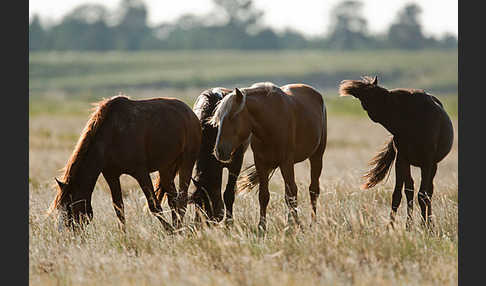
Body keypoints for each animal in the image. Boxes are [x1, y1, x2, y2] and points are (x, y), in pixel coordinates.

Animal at [48, 95, 201, 231]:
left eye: (69, 209)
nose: (69, 236)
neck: (112, 135)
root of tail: (190, 113)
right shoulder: (111, 175)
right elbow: (119, 209)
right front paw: (124, 235)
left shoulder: (141, 173)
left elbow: (154, 206)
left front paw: (169, 231)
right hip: (166, 168)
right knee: (173, 200)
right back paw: (178, 227)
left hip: (186, 163)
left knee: (181, 200)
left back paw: (178, 229)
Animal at [190, 87, 249, 223]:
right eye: (196, 202)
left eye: (208, 201)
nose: (202, 223)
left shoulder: (236, 164)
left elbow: (229, 194)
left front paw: (229, 222)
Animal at [209, 82, 326, 230]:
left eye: (232, 117)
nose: (219, 151)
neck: (270, 123)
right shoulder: (261, 163)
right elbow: (263, 196)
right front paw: (262, 227)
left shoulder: (286, 162)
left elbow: (291, 195)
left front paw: (293, 226)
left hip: (317, 156)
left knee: (313, 190)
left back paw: (313, 223)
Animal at [340, 76, 454, 228]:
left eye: (370, 96)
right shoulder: (402, 159)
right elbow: (398, 194)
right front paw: (392, 226)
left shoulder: (427, 162)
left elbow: (422, 195)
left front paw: (425, 227)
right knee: (411, 190)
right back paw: (410, 224)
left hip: (432, 166)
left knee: (428, 192)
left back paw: (428, 223)